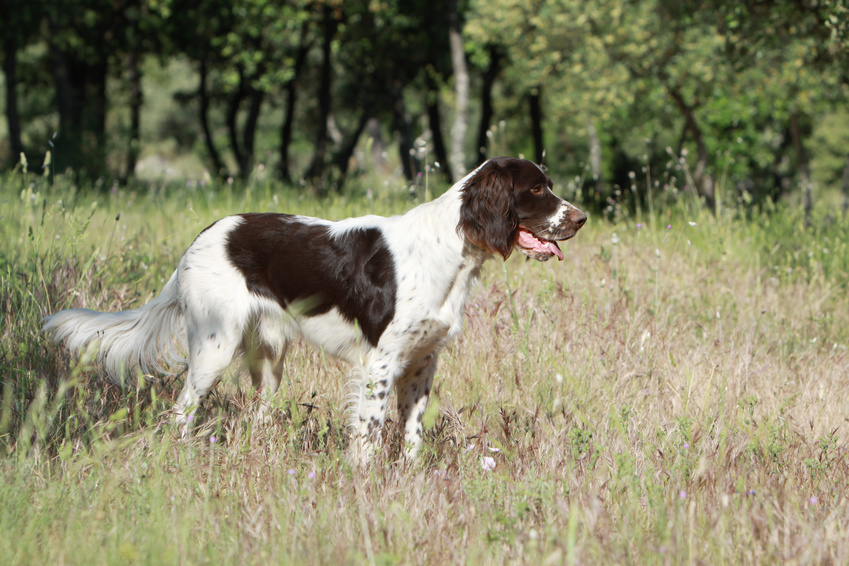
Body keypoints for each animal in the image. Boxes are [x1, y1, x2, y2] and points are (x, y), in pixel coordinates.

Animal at [43, 156, 588, 466]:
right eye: (535, 189)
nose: (581, 218)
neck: (449, 249)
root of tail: (201, 238)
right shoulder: (380, 363)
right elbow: (368, 434)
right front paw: (363, 482)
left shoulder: (422, 363)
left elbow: (411, 434)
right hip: (214, 346)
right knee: (181, 411)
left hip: (268, 356)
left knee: (258, 413)